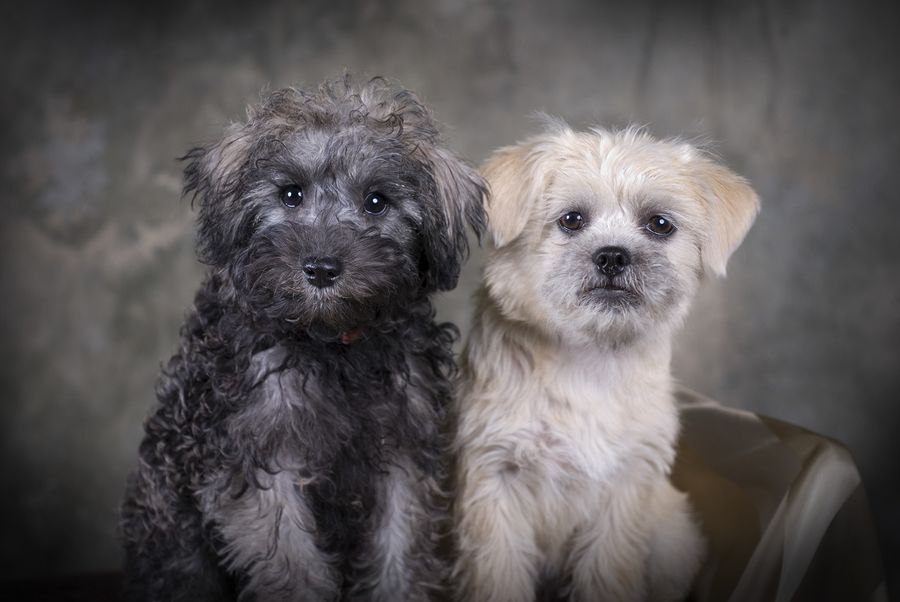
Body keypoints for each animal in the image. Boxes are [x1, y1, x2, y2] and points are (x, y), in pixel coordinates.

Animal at [454, 123, 756, 600]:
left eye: (660, 224)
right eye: (571, 219)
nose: (613, 255)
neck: (588, 355)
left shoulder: (626, 485)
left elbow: (607, 572)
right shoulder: (493, 477)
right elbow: (498, 574)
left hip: (672, 541)